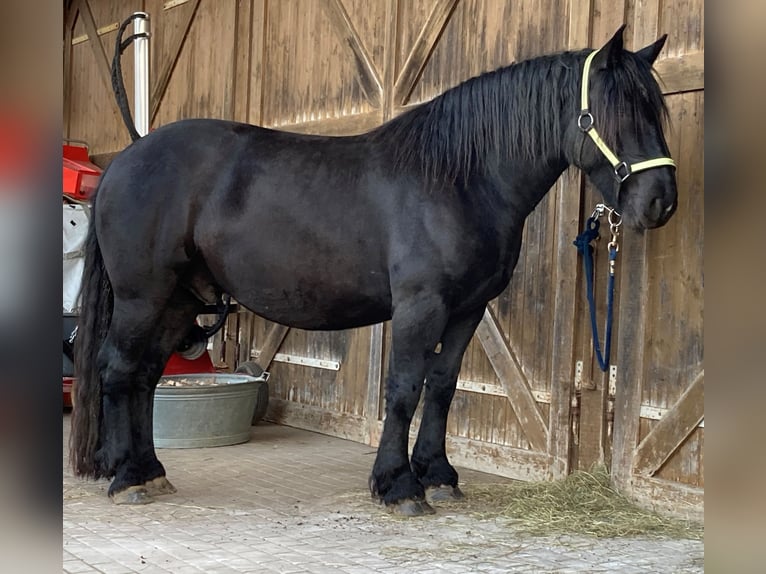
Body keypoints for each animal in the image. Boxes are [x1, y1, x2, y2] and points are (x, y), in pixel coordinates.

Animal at [70, 26, 677, 515]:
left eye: (656, 111)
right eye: (617, 113)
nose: (661, 202)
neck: (456, 179)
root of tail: (124, 162)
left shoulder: (468, 308)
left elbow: (441, 386)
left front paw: (438, 477)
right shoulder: (420, 305)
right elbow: (404, 387)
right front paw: (398, 486)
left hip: (182, 300)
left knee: (146, 375)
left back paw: (148, 471)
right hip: (144, 297)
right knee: (119, 369)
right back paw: (128, 478)